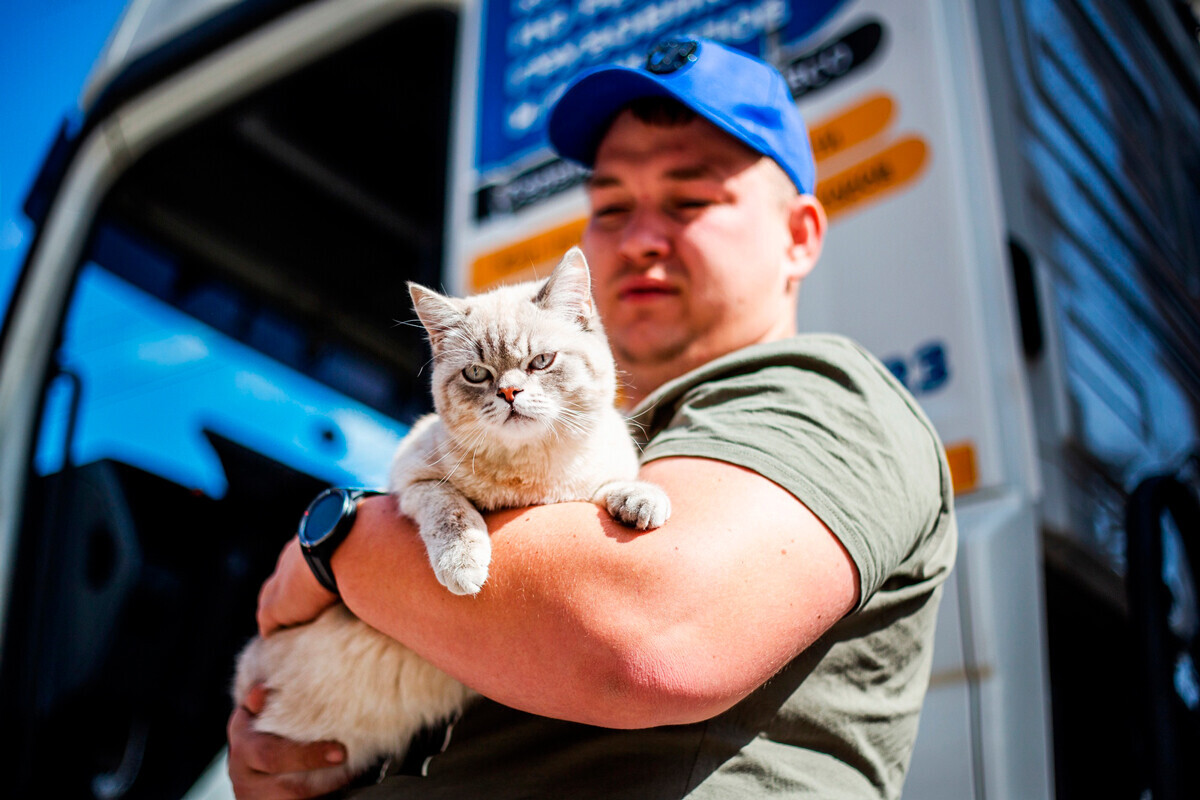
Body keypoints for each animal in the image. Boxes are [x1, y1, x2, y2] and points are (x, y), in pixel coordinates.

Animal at [229, 247, 672, 791]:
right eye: (477, 374)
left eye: (541, 362)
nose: (509, 393)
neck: (531, 476)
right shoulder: (413, 481)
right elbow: (454, 511)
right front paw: (463, 566)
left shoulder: (590, 476)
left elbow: (610, 484)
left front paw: (640, 499)